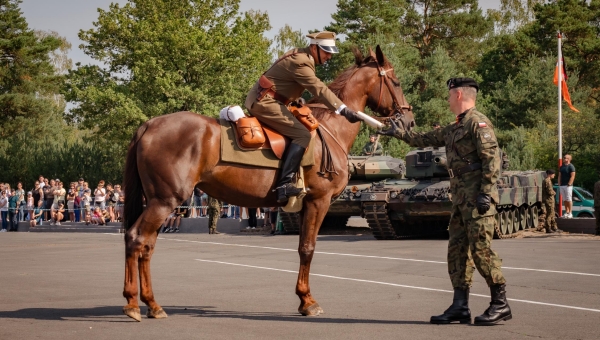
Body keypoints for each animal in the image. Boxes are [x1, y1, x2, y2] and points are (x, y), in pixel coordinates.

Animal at [119, 45, 414, 322]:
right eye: (396, 82)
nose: (409, 121)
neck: (330, 129)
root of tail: (148, 125)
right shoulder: (318, 201)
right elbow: (307, 248)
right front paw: (308, 301)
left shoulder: (304, 205)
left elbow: (302, 247)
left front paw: (303, 298)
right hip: (164, 201)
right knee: (137, 239)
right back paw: (136, 304)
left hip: (158, 202)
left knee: (146, 245)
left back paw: (149, 303)